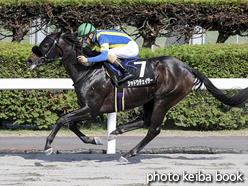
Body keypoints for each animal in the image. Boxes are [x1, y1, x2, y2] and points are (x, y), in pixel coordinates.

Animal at [25, 31, 248, 162]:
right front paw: (94, 140)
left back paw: (128, 153)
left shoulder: (92, 108)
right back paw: (117, 131)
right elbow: (70, 124)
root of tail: (187, 68)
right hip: (150, 99)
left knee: (153, 129)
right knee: (146, 120)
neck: (87, 70)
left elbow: (62, 119)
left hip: (164, 99)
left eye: (45, 45)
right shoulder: (87, 108)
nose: (29, 60)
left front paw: (47, 146)